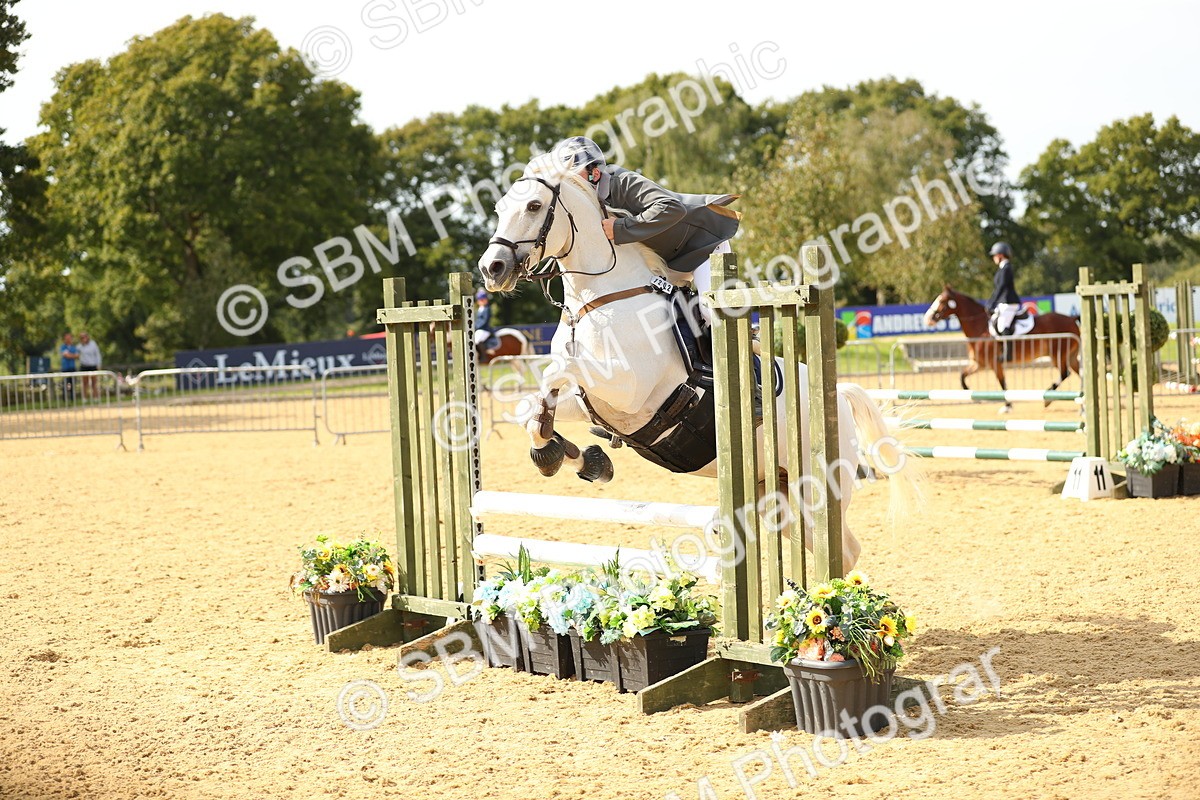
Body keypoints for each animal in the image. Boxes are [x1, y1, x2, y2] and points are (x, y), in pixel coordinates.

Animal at [476, 157, 920, 570]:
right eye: (498, 208)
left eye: (535, 205)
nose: (491, 268)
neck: (600, 300)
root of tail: (838, 395)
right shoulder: (598, 405)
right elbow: (531, 409)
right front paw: (577, 457)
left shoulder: (630, 390)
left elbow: (556, 373)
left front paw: (560, 452)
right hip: (777, 491)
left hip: (816, 486)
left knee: (843, 549)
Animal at [923, 284, 1081, 412]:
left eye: (942, 301)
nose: (927, 319)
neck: (981, 329)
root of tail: (1071, 319)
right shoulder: (980, 364)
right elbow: (962, 376)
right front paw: (972, 395)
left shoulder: (994, 363)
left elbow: (1002, 383)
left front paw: (1007, 406)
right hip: (1071, 356)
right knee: (1080, 373)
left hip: (1058, 354)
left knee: (1065, 373)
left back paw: (1048, 399)